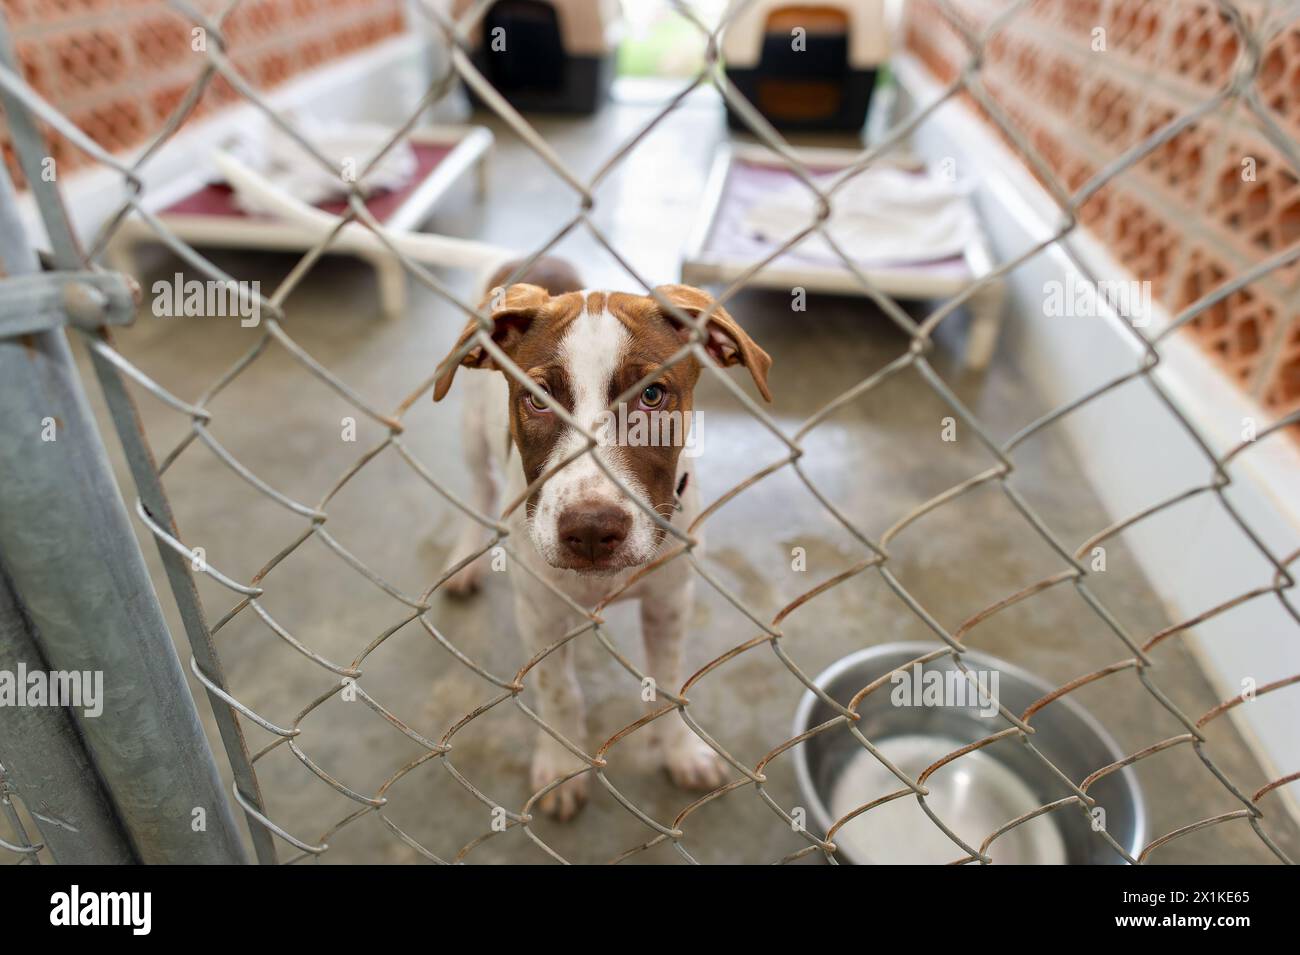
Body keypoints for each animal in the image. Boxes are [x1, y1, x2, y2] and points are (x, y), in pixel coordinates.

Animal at [431, 255, 769, 821]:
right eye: (537, 400)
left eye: (652, 396)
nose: (590, 531)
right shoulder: (539, 610)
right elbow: (559, 689)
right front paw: (562, 767)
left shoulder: (669, 599)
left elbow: (670, 682)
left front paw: (679, 751)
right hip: (472, 432)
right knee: (480, 487)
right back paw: (465, 559)